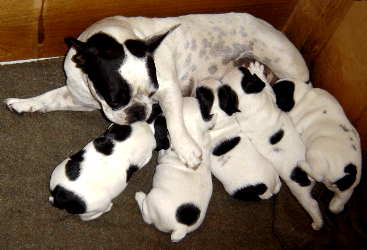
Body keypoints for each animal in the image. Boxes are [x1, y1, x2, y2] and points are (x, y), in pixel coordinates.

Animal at [134, 96, 216, 241]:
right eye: (202, 106)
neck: (194, 134)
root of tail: (181, 228)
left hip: (154, 198)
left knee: (147, 217)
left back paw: (140, 197)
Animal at [220, 61, 324, 229]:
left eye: (244, 72)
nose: (235, 67)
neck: (247, 101)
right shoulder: (270, 96)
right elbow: (267, 86)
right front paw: (258, 70)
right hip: (300, 190)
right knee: (311, 204)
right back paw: (318, 222)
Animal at [274, 78, 362, 213]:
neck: (302, 94)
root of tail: (348, 176)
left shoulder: (297, 125)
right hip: (345, 194)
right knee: (335, 207)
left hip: (314, 153)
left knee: (318, 175)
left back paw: (303, 165)